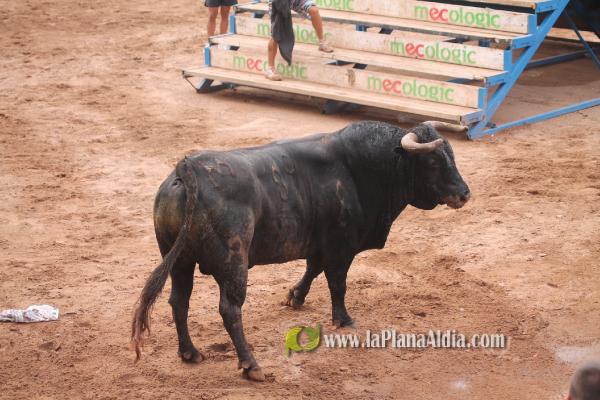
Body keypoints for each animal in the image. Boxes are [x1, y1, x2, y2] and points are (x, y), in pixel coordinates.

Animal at [131, 120, 470, 381]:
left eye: (452, 157)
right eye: (433, 162)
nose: (464, 194)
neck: (361, 169)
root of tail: (189, 170)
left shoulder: (320, 243)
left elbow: (313, 269)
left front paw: (295, 296)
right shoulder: (341, 245)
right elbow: (337, 283)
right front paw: (343, 319)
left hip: (179, 261)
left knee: (179, 301)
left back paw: (189, 352)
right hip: (233, 263)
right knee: (230, 310)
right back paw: (251, 365)